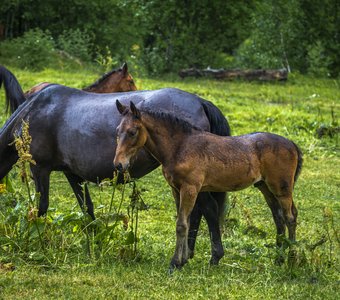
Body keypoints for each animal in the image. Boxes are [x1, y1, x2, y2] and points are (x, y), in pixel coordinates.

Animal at [115, 101, 302, 272]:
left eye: (132, 132)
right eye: (117, 131)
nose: (118, 164)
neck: (180, 146)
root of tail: (292, 144)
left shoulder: (190, 189)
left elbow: (182, 224)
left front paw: (175, 263)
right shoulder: (176, 190)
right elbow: (185, 222)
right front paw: (183, 260)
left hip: (282, 188)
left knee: (290, 218)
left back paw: (292, 260)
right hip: (265, 187)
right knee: (278, 218)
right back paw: (278, 259)